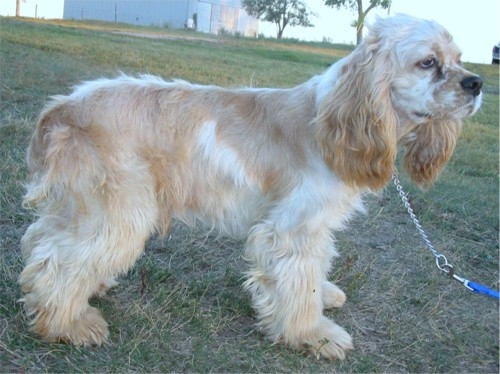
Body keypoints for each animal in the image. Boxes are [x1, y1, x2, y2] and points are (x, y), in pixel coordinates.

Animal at [19, 14, 480, 360]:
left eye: (459, 59)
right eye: (427, 62)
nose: (476, 83)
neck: (334, 119)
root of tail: (62, 107)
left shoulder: (315, 227)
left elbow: (316, 272)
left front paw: (324, 298)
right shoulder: (292, 229)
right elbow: (299, 285)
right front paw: (313, 334)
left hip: (86, 206)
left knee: (44, 244)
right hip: (120, 213)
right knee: (57, 264)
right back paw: (67, 324)